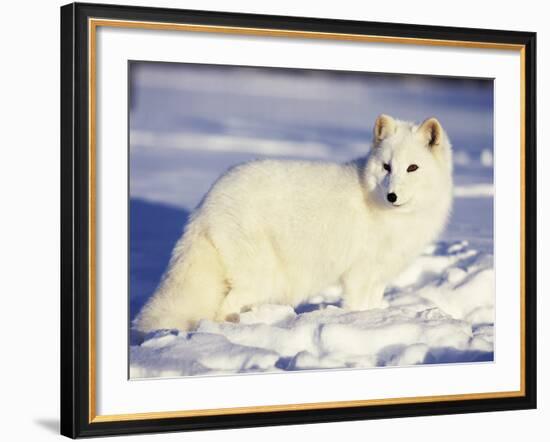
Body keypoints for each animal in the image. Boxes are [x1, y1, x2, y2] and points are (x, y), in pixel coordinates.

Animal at [136, 114, 454, 332]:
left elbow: (373, 303)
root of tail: (207, 202)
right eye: (386, 167)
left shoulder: (379, 275)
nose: (392, 196)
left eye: (412, 168)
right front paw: (363, 324)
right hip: (261, 275)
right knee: (222, 308)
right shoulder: (359, 274)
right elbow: (358, 307)